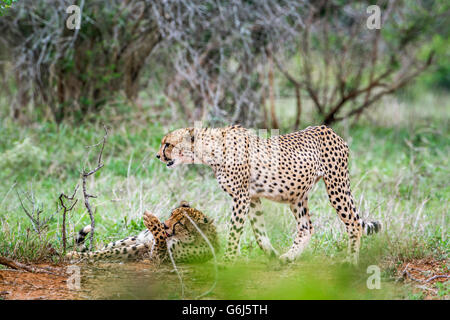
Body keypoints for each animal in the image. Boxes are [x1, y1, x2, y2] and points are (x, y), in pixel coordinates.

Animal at [67, 202, 220, 262]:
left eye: (180, 223)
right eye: (172, 214)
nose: (164, 225)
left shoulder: (158, 256)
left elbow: (160, 240)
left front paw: (153, 223)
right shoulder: (149, 245)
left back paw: (74, 255)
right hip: (134, 240)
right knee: (106, 249)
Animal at [156, 124, 382, 262]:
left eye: (168, 144)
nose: (157, 155)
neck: (211, 151)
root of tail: (327, 128)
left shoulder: (241, 197)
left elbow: (234, 232)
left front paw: (227, 260)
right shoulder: (252, 197)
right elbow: (259, 233)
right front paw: (270, 253)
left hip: (336, 185)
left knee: (353, 223)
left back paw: (350, 261)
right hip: (297, 194)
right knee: (306, 227)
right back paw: (288, 257)